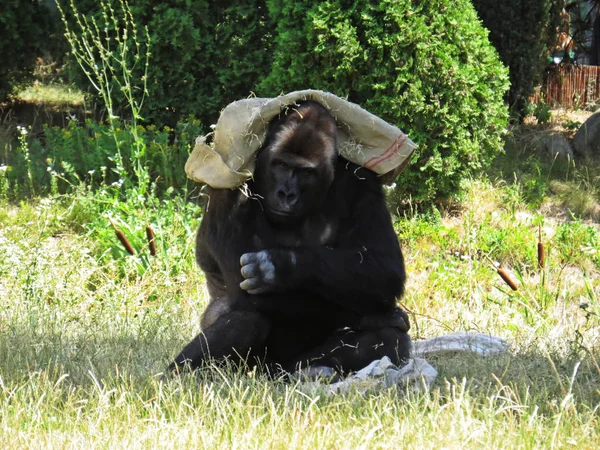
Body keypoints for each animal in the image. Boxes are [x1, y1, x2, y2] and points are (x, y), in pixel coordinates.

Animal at [171, 100, 410, 378]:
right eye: (281, 165)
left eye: (306, 172)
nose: (287, 194)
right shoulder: (230, 186)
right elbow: (247, 298)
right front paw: (378, 317)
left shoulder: (362, 182)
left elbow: (384, 268)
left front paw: (281, 266)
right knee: (247, 320)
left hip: (288, 368)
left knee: (391, 340)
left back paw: (314, 371)